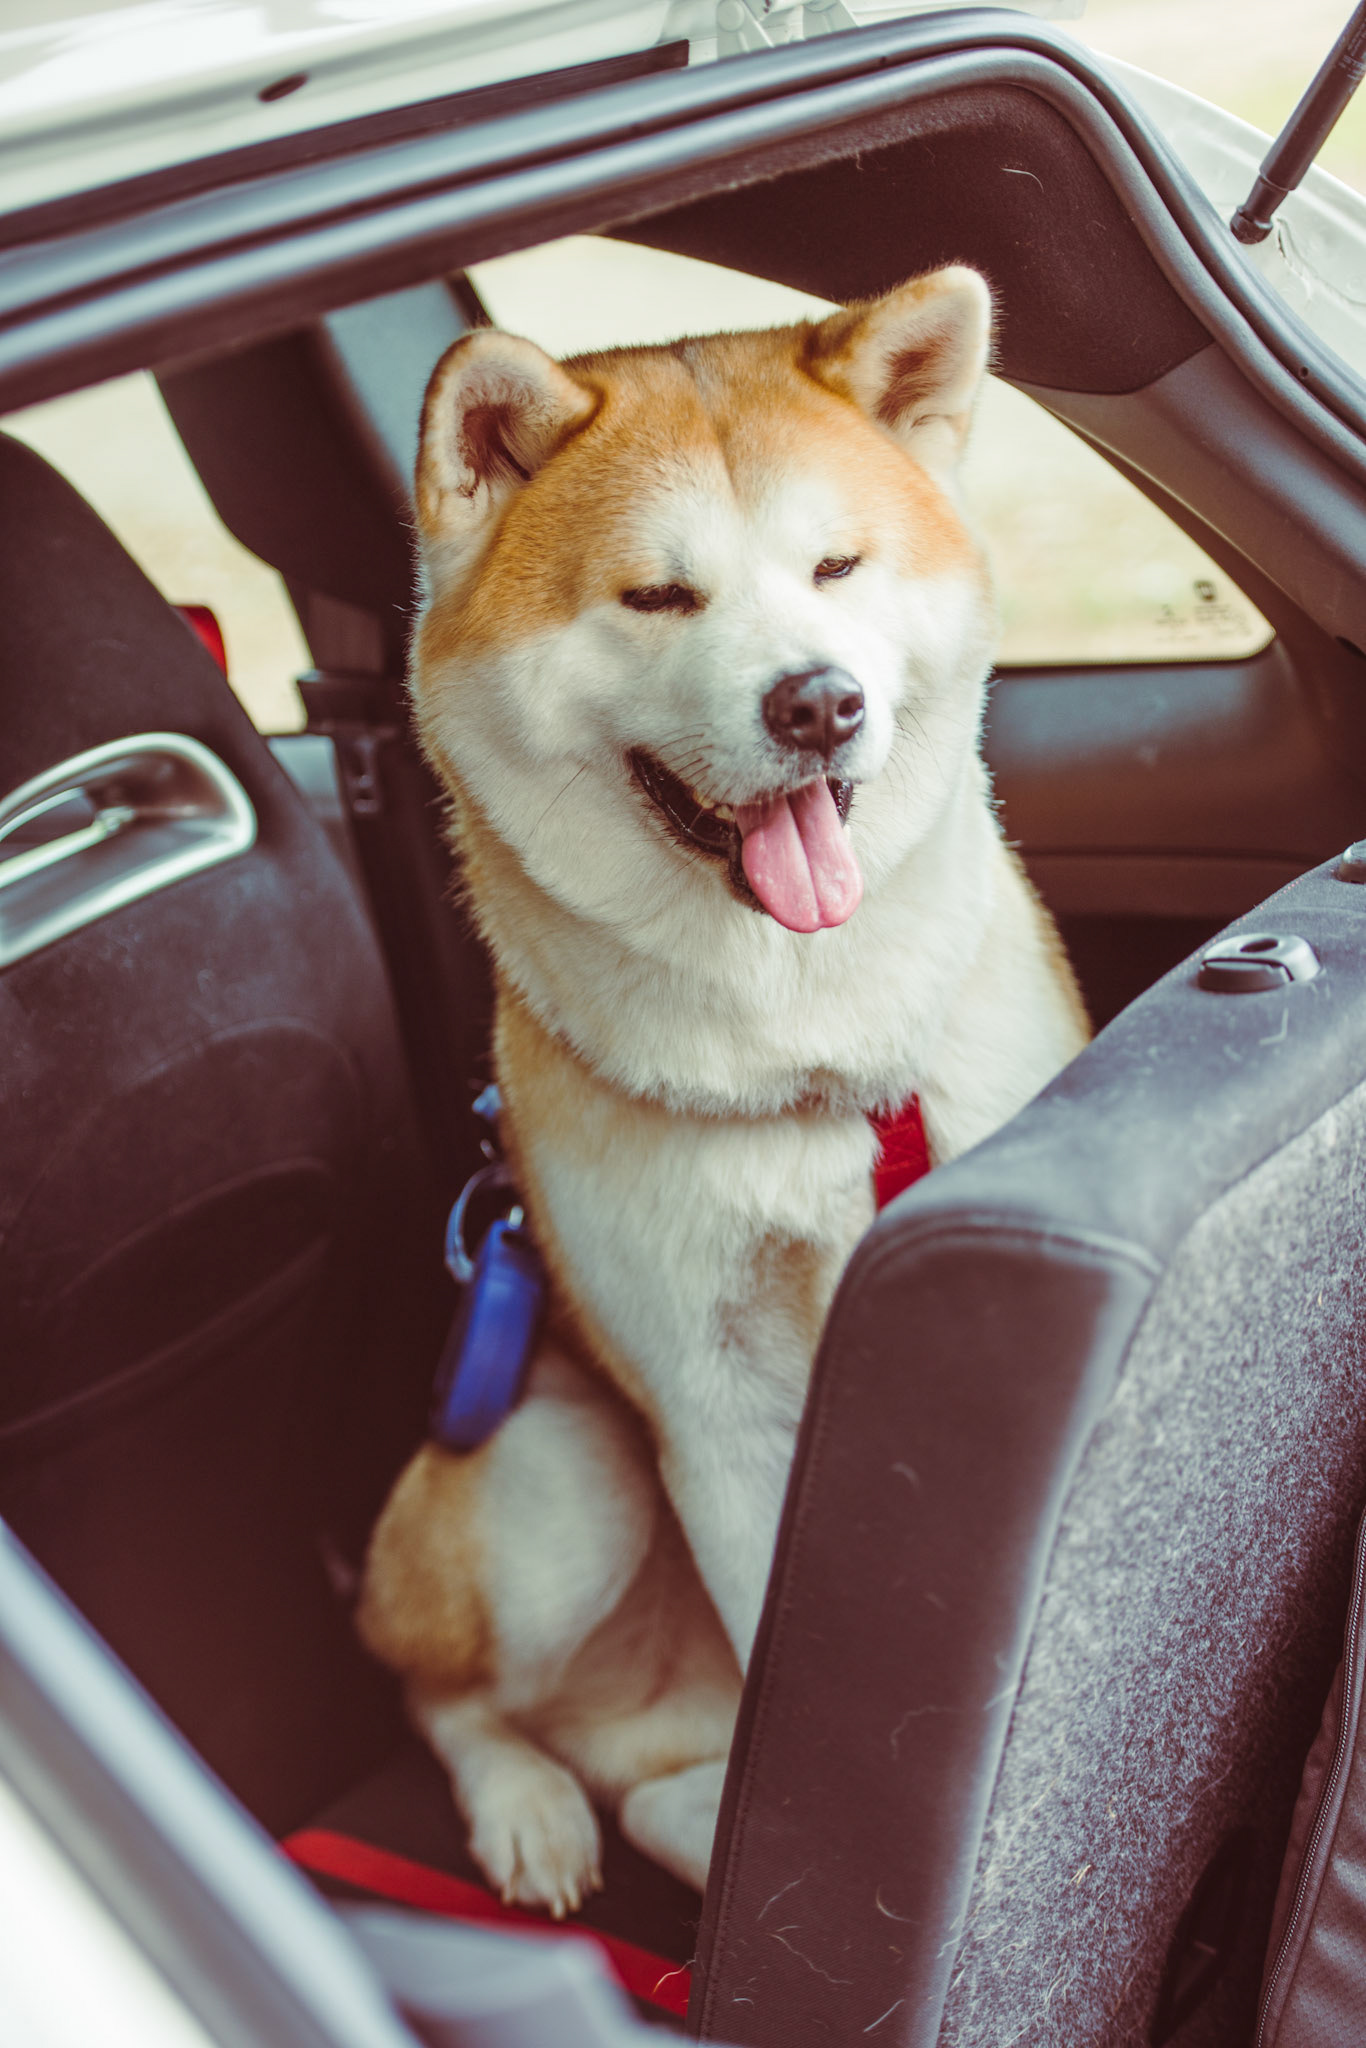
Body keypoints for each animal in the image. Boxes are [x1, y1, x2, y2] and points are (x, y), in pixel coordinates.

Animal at [356, 265, 1089, 1917]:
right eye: (655, 597)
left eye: (835, 565)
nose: (816, 702)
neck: (812, 1061)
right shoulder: (714, 1416)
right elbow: (773, 1659)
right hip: (557, 1475)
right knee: (449, 1699)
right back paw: (531, 1810)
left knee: (652, 1790)